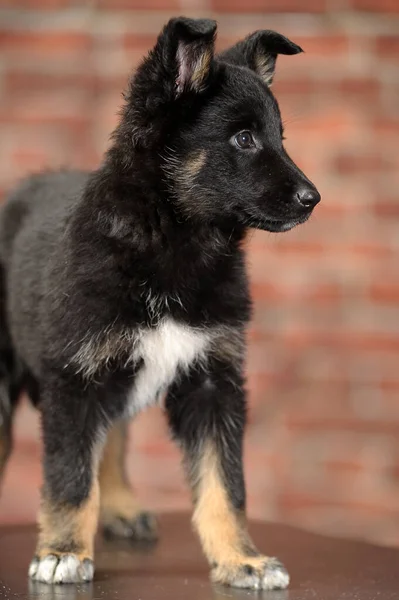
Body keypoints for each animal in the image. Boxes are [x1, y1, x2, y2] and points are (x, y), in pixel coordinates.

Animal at [0, 16, 320, 588]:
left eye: (280, 138)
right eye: (243, 138)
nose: (313, 199)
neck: (175, 242)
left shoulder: (214, 381)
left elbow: (225, 483)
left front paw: (242, 558)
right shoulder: (73, 380)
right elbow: (69, 477)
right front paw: (63, 552)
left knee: (114, 438)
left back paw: (122, 508)